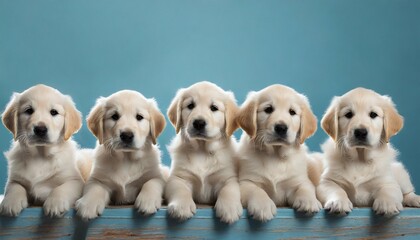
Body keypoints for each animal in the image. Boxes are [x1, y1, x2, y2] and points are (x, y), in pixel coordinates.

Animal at [0, 85, 83, 218]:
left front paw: (55, 203)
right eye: (29, 110)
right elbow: (14, 187)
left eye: (54, 112)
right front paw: (11, 202)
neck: (40, 155)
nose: (40, 129)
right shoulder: (14, 178)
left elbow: (61, 188)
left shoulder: (76, 181)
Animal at [74, 89, 167, 219]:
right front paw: (88, 204)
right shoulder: (98, 178)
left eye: (139, 117)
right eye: (114, 116)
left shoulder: (156, 175)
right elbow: (95, 188)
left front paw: (148, 201)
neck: (126, 158)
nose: (127, 135)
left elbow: (151, 183)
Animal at [165, 81, 243, 224]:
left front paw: (229, 208)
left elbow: (229, 190)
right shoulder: (178, 177)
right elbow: (179, 189)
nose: (199, 123)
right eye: (190, 106)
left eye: (214, 108)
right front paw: (182, 206)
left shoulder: (227, 177)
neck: (202, 150)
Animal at [236, 85, 322, 222]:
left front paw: (309, 201)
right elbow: (257, 191)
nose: (281, 128)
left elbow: (305, 187)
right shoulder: (246, 182)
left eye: (292, 112)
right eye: (268, 109)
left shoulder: (298, 179)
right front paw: (263, 206)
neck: (275, 154)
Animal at [318, 87, 420, 216]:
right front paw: (339, 202)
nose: (360, 132)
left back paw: (415, 199)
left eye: (373, 114)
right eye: (348, 114)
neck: (360, 158)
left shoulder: (387, 181)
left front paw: (387, 204)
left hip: (400, 173)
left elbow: (387, 190)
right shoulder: (327, 181)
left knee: (408, 191)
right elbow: (336, 190)